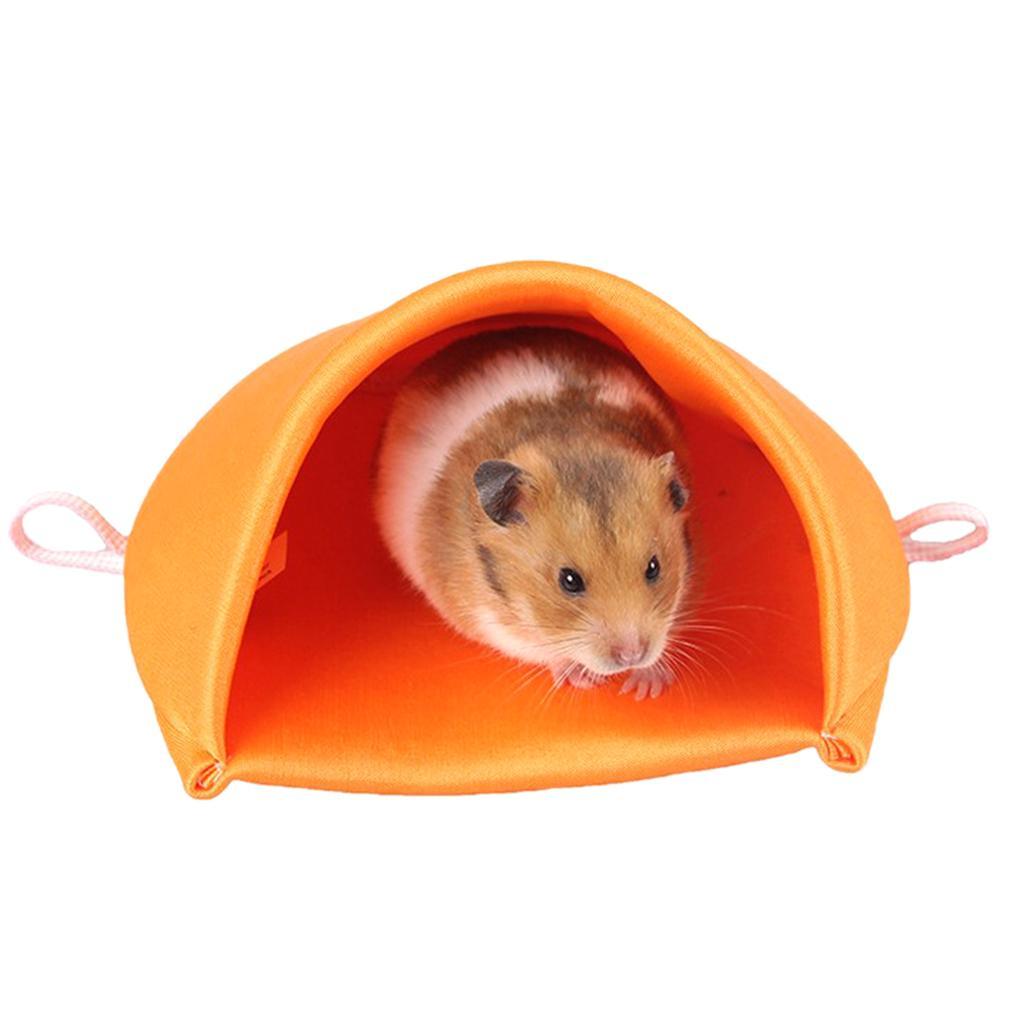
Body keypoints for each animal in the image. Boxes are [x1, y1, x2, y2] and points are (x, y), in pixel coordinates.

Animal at [372, 326, 693, 700]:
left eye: (654, 568)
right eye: (569, 580)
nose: (631, 656)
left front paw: (645, 688)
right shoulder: (492, 623)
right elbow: (543, 650)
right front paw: (587, 680)